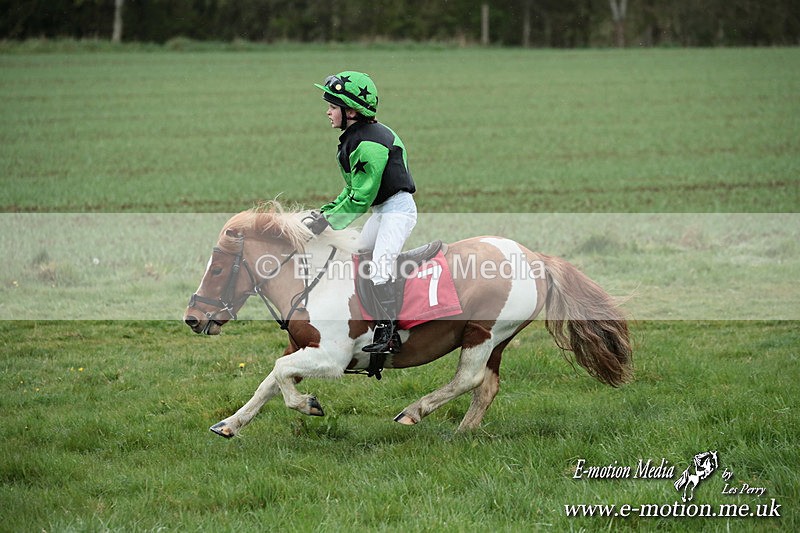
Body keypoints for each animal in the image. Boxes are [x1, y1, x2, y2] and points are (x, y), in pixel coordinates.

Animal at [183, 202, 632, 438]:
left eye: (218, 269)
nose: (193, 318)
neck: (310, 280)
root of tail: (535, 257)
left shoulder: (331, 357)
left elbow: (279, 374)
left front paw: (309, 404)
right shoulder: (302, 345)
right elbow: (268, 382)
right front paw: (231, 424)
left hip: (484, 332)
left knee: (468, 379)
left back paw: (414, 412)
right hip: (496, 340)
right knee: (487, 386)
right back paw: (462, 432)